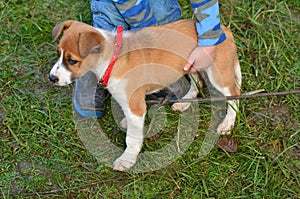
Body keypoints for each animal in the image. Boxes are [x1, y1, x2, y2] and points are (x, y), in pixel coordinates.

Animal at [49, 19, 241, 170]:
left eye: (72, 60)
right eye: (58, 53)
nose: (52, 78)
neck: (113, 59)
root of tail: (224, 28)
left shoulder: (135, 105)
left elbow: (132, 139)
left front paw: (127, 160)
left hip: (218, 74)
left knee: (234, 94)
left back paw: (227, 123)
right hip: (193, 65)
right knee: (198, 82)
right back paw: (185, 102)